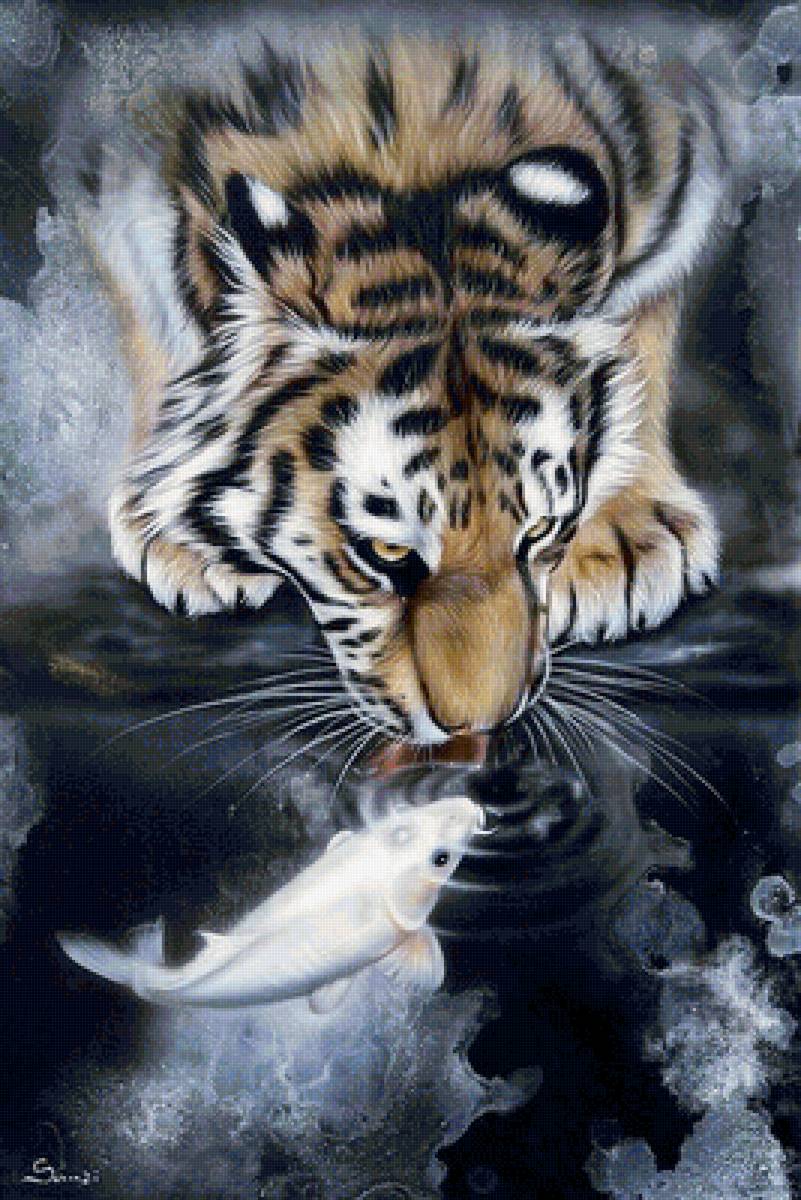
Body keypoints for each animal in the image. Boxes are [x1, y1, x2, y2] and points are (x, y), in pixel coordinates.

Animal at [89, 34, 728, 767]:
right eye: (384, 555)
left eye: (540, 532)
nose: (482, 726)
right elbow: (149, 311)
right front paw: (174, 532)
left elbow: (640, 318)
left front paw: (623, 533)